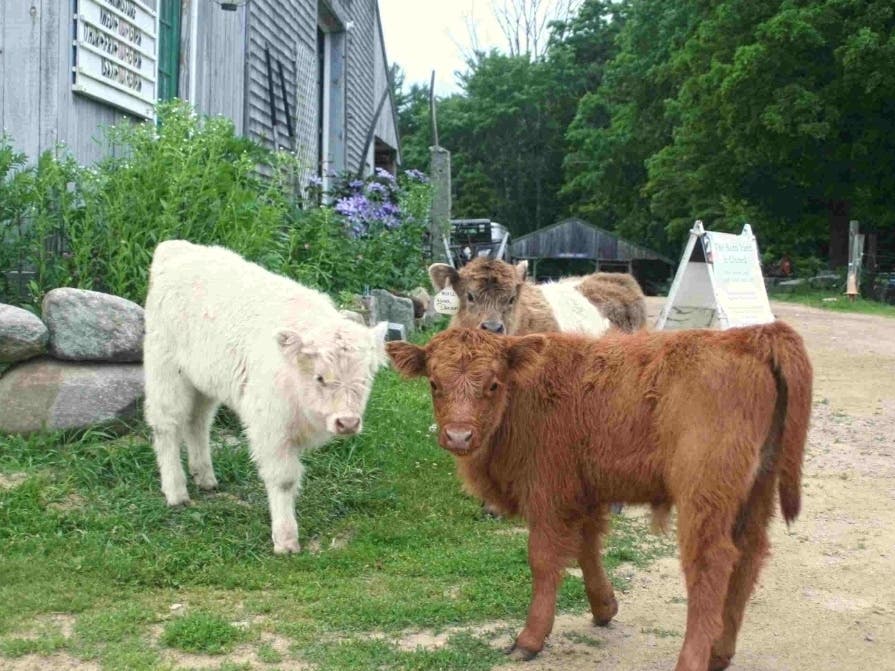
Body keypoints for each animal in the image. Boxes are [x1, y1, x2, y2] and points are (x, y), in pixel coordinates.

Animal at [144, 240, 388, 554]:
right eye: (320, 377)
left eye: (366, 377)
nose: (347, 422)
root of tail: (175, 247)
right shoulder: (271, 428)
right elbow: (284, 479)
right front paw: (285, 539)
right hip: (166, 373)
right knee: (167, 426)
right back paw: (176, 492)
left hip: (204, 382)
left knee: (197, 423)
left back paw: (206, 478)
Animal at [387, 322, 812, 671]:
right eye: (434, 384)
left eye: (493, 384)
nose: (459, 436)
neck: (524, 395)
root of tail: (750, 335)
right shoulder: (586, 493)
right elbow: (587, 548)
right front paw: (604, 608)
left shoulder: (548, 496)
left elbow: (544, 560)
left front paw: (530, 639)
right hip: (756, 494)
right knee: (749, 557)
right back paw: (720, 653)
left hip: (704, 497)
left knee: (711, 565)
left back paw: (692, 659)